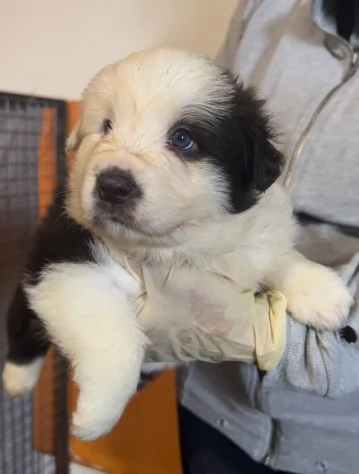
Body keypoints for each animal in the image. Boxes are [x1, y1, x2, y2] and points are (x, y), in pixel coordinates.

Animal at [1, 48, 352, 440]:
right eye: (106, 126)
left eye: (183, 139)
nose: (112, 186)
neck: (177, 248)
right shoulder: (65, 254)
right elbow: (114, 333)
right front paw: (97, 412)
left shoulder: (246, 245)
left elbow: (276, 255)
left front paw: (322, 291)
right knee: (22, 326)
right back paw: (17, 378)